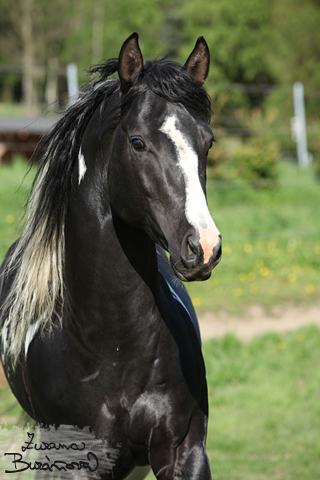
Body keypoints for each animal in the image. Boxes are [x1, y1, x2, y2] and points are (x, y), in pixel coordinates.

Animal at [0, 33, 221, 480]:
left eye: (208, 143)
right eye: (137, 142)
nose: (204, 247)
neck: (114, 348)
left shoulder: (184, 452)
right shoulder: (71, 462)